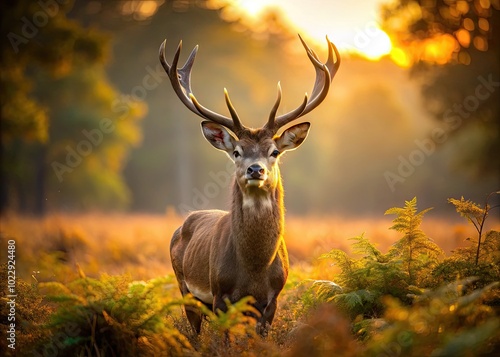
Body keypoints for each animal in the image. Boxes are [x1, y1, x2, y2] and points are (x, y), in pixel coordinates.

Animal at [160, 34, 340, 334]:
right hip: (184, 286)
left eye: (274, 152)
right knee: (195, 332)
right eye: (236, 152)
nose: (255, 169)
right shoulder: (219, 294)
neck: (254, 270)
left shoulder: (272, 299)